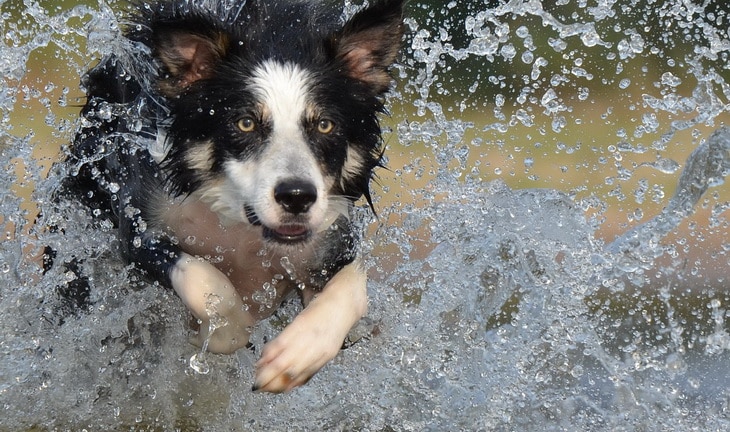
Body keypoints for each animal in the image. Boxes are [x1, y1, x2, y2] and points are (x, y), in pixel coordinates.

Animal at [58, 0, 404, 392]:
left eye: (325, 125)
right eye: (245, 123)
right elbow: (208, 283)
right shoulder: (140, 224)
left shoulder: (330, 239)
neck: (241, 224)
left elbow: (353, 285)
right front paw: (221, 330)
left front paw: (297, 354)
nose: (296, 197)